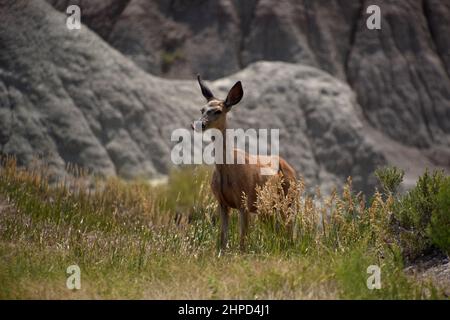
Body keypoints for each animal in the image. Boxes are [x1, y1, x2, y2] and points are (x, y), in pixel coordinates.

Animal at [192, 75, 298, 250]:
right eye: (202, 109)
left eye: (218, 111)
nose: (199, 124)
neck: (226, 169)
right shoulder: (222, 202)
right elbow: (223, 239)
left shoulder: (244, 201)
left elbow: (242, 240)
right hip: (269, 206)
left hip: (288, 198)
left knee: (289, 229)